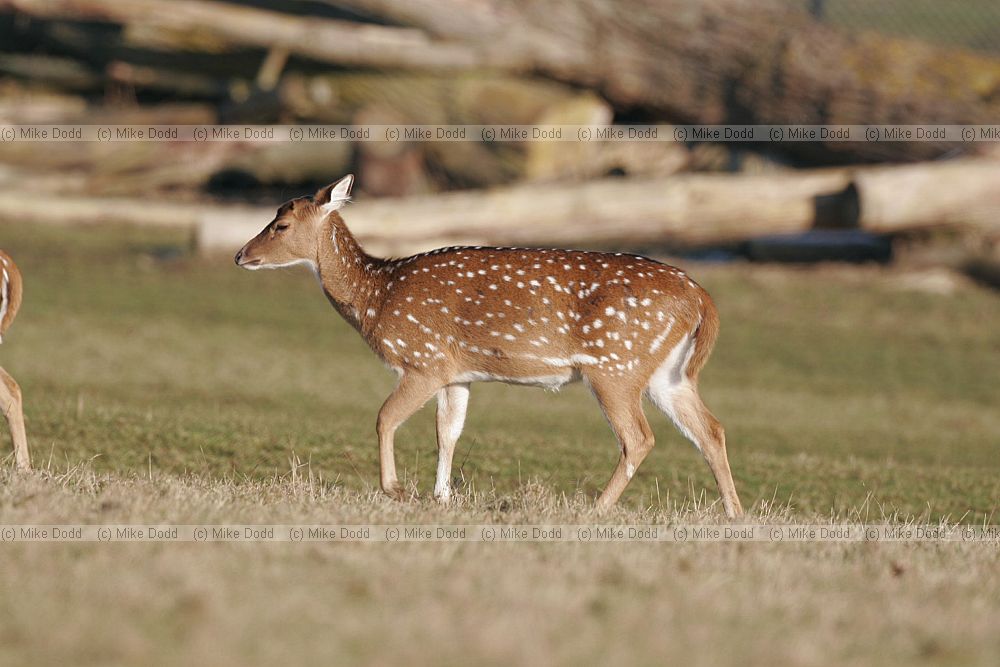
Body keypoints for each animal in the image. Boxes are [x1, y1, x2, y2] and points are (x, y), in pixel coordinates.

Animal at [235, 175, 743, 517]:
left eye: (280, 225)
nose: (240, 255)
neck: (377, 296)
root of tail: (702, 299)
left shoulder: (424, 360)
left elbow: (385, 418)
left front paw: (396, 490)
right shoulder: (458, 375)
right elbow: (448, 432)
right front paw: (440, 497)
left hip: (616, 365)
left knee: (639, 437)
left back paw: (596, 508)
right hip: (666, 373)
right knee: (711, 429)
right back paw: (734, 514)